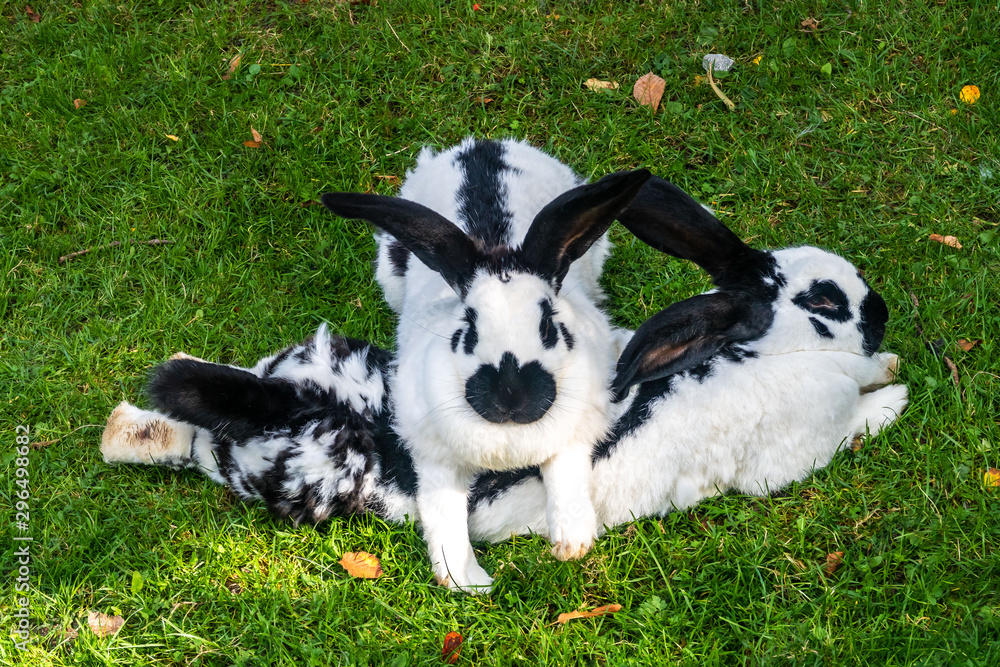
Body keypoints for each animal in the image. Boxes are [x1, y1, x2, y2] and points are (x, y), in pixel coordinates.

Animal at [316, 137, 652, 596]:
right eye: (468, 327)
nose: (511, 397)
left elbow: (566, 475)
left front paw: (572, 543)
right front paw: (465, 580)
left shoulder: (577, 430)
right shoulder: (435, 456)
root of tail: (480, 147)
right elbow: (443, 512)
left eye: (548, 324)